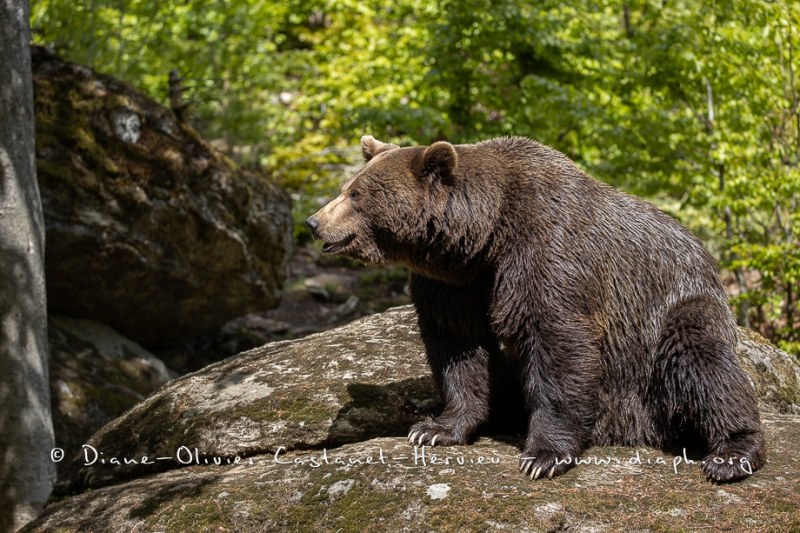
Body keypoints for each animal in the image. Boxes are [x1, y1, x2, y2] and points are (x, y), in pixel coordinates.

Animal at [304, 135, 764, 480]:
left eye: (356, 194)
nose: (314, 221)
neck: (484, 238)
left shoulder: (547, 252)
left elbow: (557, 339)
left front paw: (543, 455)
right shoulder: (455, 284)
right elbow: (459, 349)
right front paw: (435, 428)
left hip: (672, 314)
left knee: (702, 363)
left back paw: (731, 453)